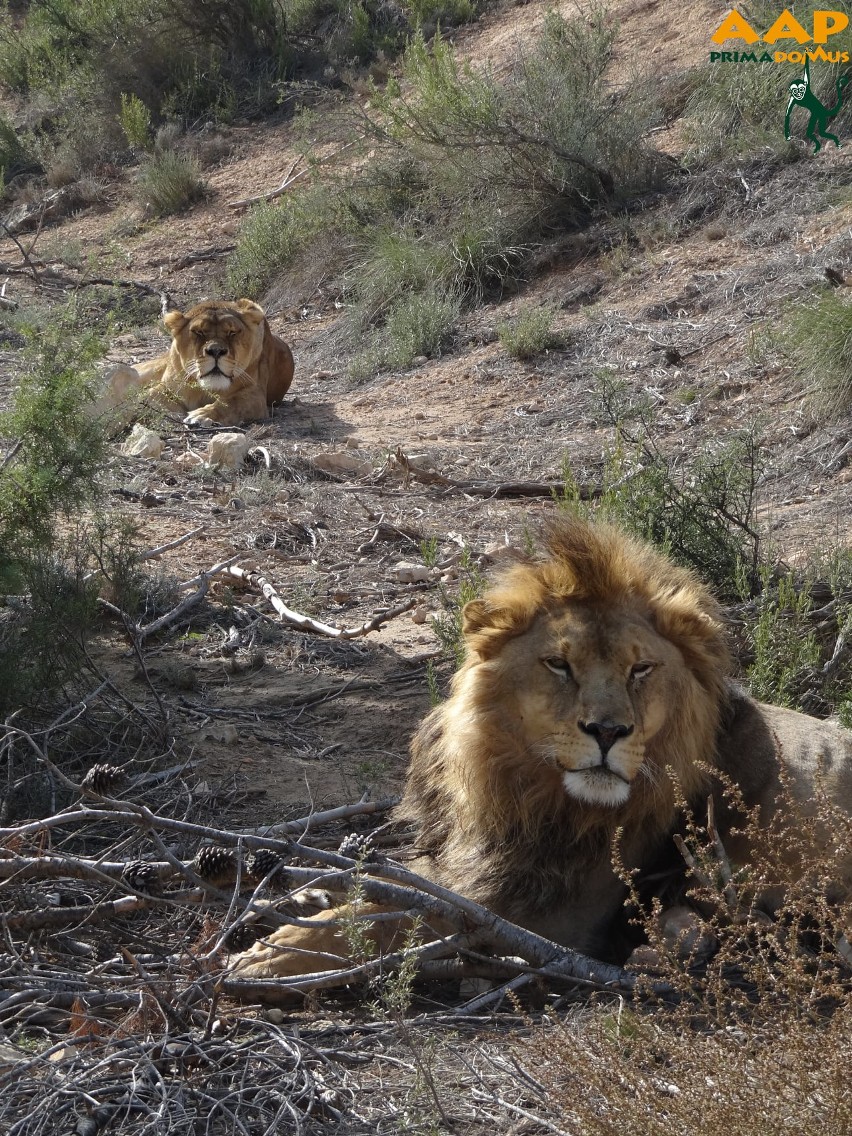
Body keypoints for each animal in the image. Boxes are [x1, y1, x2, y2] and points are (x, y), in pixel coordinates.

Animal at [108, 299, 295, 427]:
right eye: (198, 332)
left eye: (232, 332)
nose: (216, 351)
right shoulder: (166, 387)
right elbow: (149, 399)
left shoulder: (255, 395)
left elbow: (230, 403)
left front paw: (201, 416)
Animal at [231, 520, 852, 981]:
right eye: (559, 664)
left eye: (641, 669)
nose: (608, 731)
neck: (524, 790)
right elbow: (404, 883)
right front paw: (312, 895)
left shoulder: (548, 917)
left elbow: (407, 918)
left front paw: (275, 953)